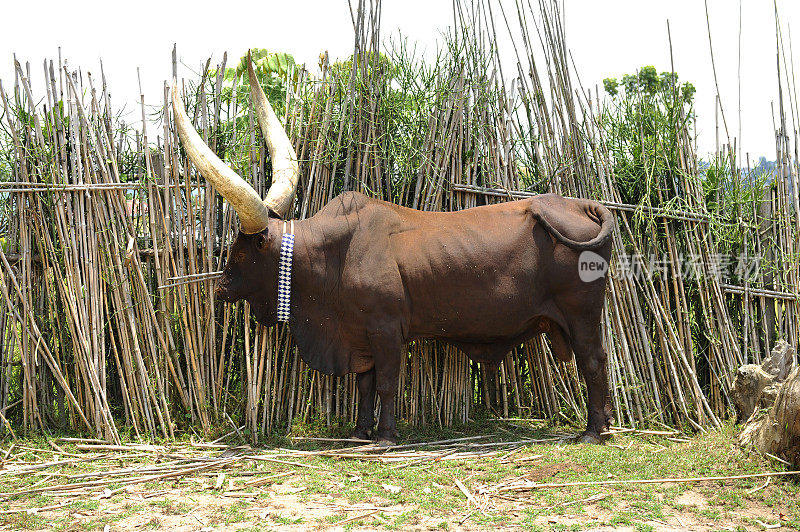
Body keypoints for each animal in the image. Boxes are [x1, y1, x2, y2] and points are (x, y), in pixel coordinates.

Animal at [172, 54, 616, 444]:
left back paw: (593, 431)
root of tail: (579, 204)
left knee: (594, 361)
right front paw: (359, 432)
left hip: (582, 313)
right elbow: (365, 384)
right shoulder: (360, 335)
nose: (220, 287)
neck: (332, 257)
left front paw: (385, 436)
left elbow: (386, 383)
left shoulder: (386, 330)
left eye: (239, 250)